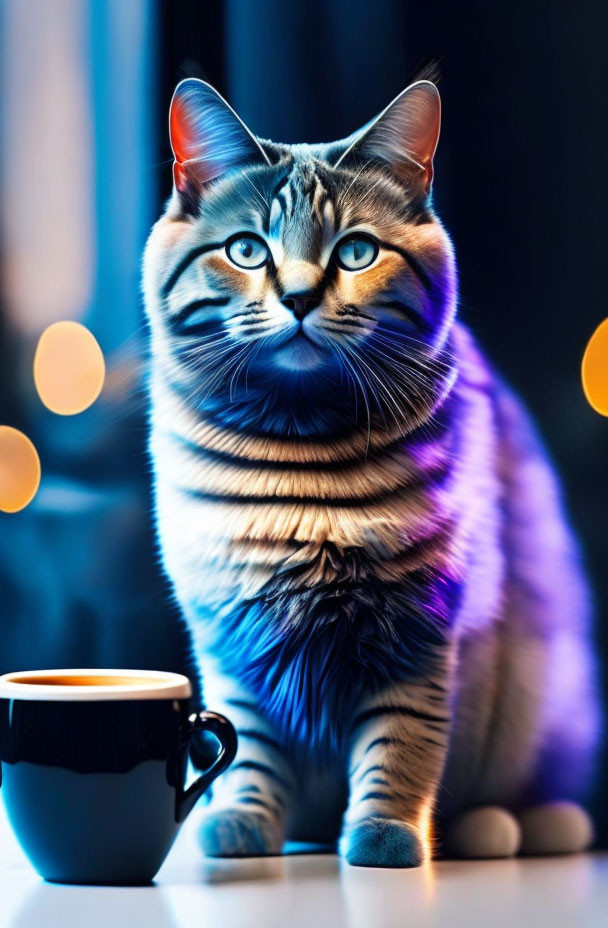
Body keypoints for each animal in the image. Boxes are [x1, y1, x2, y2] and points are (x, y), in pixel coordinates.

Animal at [144, 80, 604, 872]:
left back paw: (504, 828)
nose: (299, 298)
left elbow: (401, 746)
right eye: (246, 250)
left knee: (532, 799)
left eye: (356, 252)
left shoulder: (418, 635)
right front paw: (240, 824)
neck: (299, 459)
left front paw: (386, 837)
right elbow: (246, 748)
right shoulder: (232, 637)